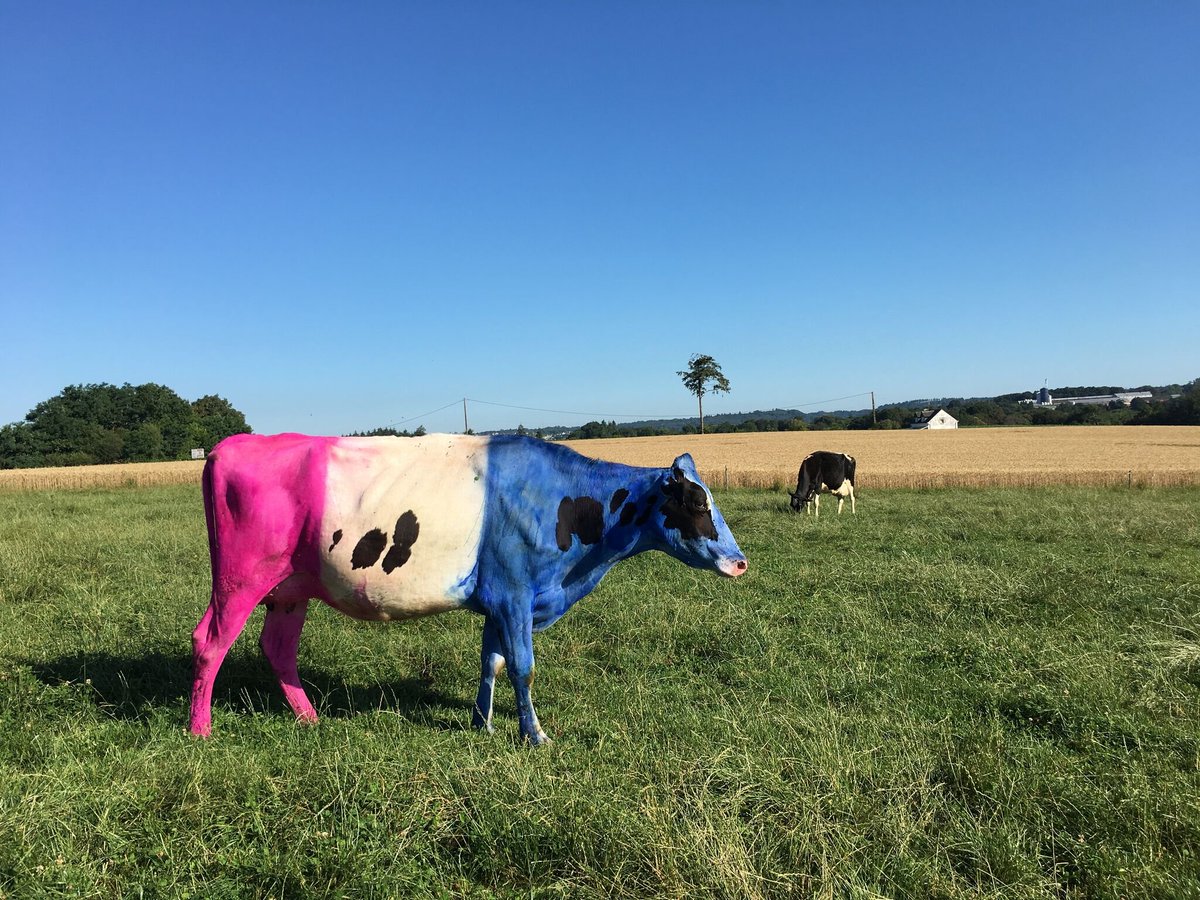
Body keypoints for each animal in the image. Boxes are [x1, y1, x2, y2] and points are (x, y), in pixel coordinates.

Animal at [190, 432, 747, 744]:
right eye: (695, 502)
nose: (741, 563)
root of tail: (231, 444)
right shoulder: (516, 596)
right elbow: (522, 667)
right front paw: (534, 735)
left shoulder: (499, 602)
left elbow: (491, 661)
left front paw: (482, 722)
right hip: (241, 580)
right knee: (210, 642)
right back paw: (201, 730)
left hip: (291, 589)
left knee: (277, 647)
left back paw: (309, 720)